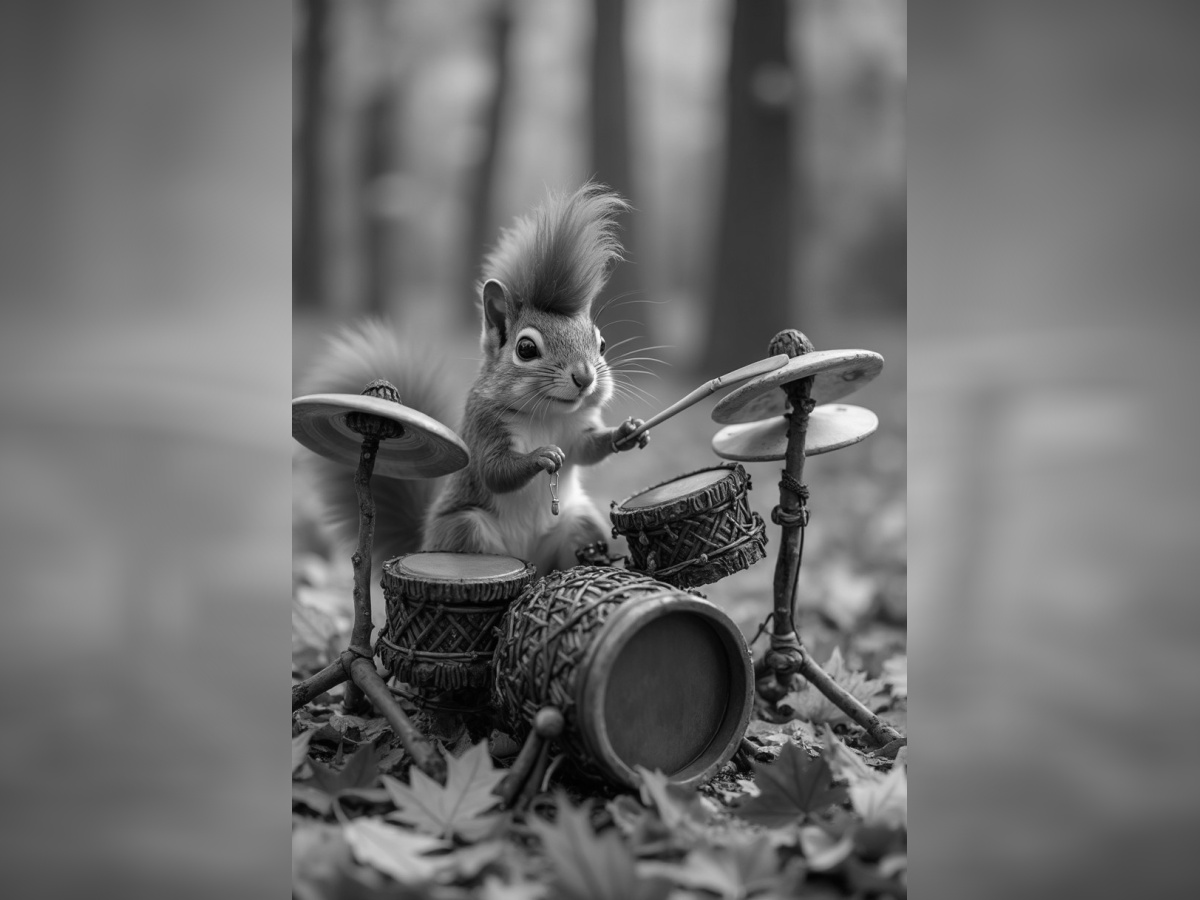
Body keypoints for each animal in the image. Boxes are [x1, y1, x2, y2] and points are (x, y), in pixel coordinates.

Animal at [300, 183, 650, 576]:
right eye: (526, 348)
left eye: (601, 344)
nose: (585, 377)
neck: (547, 415)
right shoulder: (484, 426)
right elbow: (494, 471)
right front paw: (541, 455)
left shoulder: (576, 431)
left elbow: (588, 449)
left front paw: (626, 432)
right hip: (466, 526)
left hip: (578, 524)